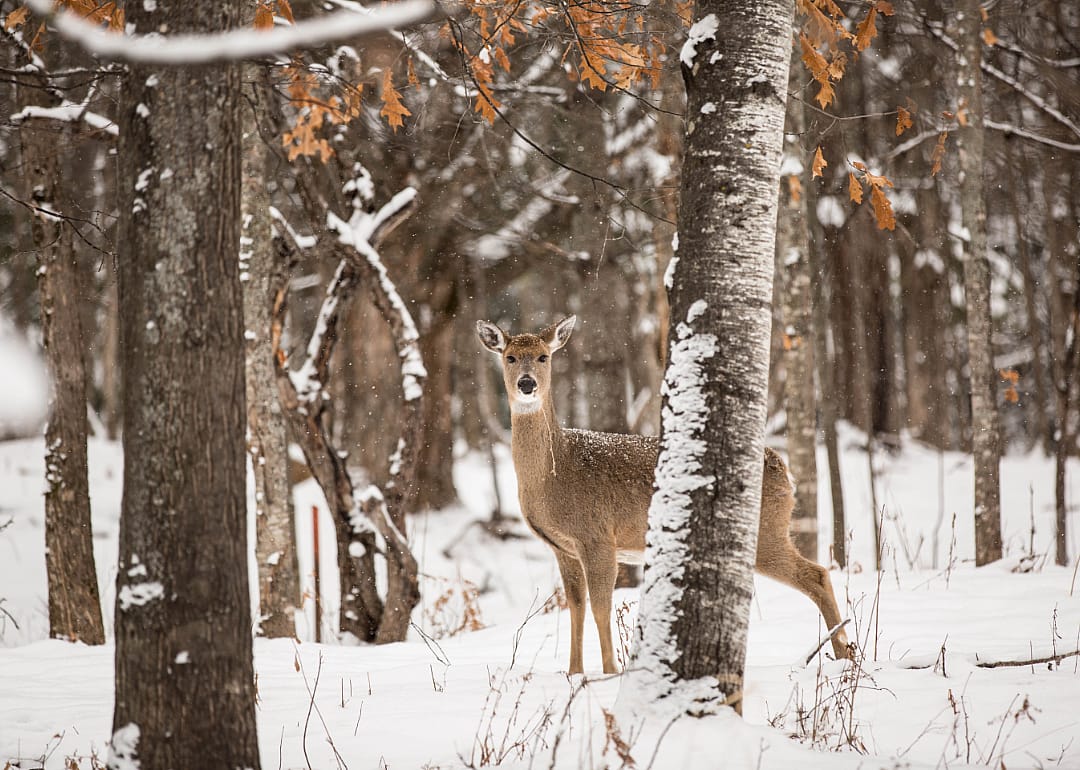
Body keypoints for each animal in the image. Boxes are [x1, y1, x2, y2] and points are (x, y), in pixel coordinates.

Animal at [477, 314, 853, 675]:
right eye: (510, 357)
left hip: (765, 530)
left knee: (817, 574)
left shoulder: (597, 536)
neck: (555, 474)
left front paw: (610, 672)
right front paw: (573, 672)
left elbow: (600, 605)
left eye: (543, 356)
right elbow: (576, 607)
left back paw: (844, 654)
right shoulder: (563, 547)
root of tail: (782, 468)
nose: (527, 383)